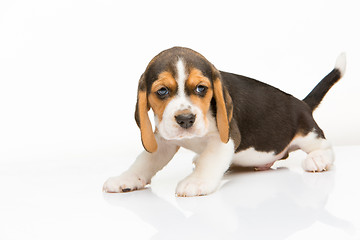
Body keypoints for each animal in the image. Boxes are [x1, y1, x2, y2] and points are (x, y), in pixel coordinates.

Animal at [103, 47, 346, 197]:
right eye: (162, 91)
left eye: (201, 88)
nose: (185, 119)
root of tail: (302, 103)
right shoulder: (162, 140)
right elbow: (144, 161)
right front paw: (126, 178)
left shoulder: (227, 137)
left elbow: (210, 159)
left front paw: (196, 182)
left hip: (307, 133)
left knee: (325, 146)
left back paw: (318, 159)